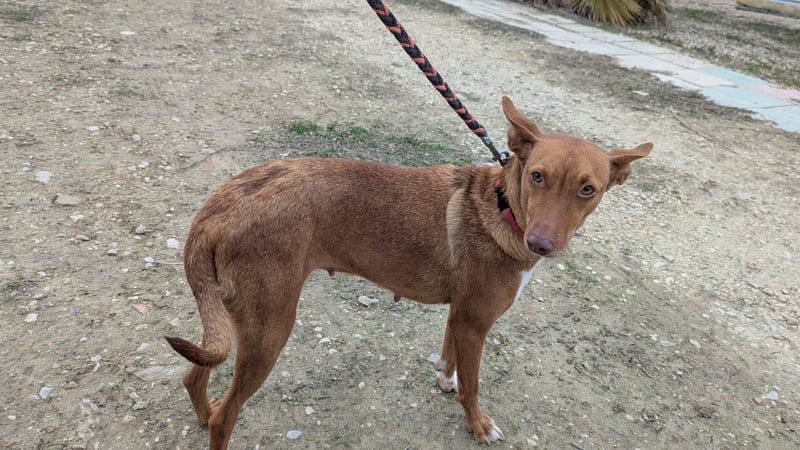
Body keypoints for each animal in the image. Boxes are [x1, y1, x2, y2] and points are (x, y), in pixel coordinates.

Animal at [166, 96, 652, 448]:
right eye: (536, 176)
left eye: (588, 189)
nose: (541, 244)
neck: (503, 207)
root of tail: (219, 206)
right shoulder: (476, 323)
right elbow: (474, 386)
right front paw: (478, 425)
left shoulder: (460, 316)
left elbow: (449, 361)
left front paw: (445, 380)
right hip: (270, 329)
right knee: (225, 417)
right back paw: (215, 419)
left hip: (237, 319)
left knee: (195, 374)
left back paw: (201, 412)